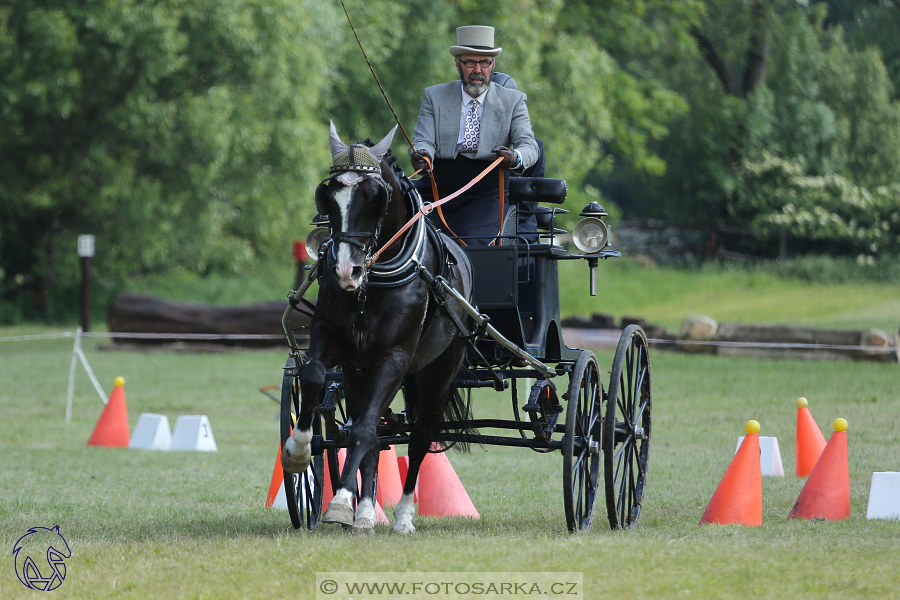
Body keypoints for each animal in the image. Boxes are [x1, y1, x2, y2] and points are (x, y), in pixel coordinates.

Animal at [284, 123, 474, 536]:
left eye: (374, 197)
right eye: (328, 194)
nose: (345, 270)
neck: (373, 281)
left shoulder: (396, 357)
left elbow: (365, 430)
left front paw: (340, 502)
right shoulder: (331, 337)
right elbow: (313, 376)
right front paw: (297, 451)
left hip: (436, 373)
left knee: (419, 438)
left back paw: (401, 515)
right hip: (360, 372)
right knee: (371, 429)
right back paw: (367, 512)